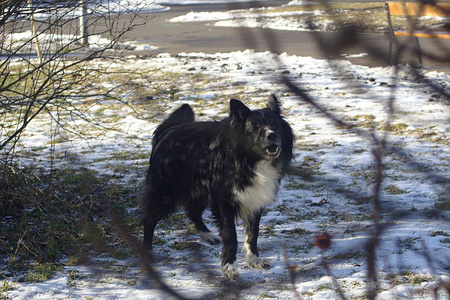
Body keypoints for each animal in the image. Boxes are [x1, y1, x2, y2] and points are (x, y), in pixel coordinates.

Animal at [142, 95, 294, 278]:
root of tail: (166, 132)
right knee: (149, 219)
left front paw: (254, 260)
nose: (272, 136)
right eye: (256, 128)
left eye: (275, 125)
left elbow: (253, 235)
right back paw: (147, 252)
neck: (248, 161)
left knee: (192, 210)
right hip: (165, 192)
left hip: (199, 191)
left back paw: (208, 235)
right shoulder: (224, 203)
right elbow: (231, 236)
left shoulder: (254, 199)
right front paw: (229, 266)